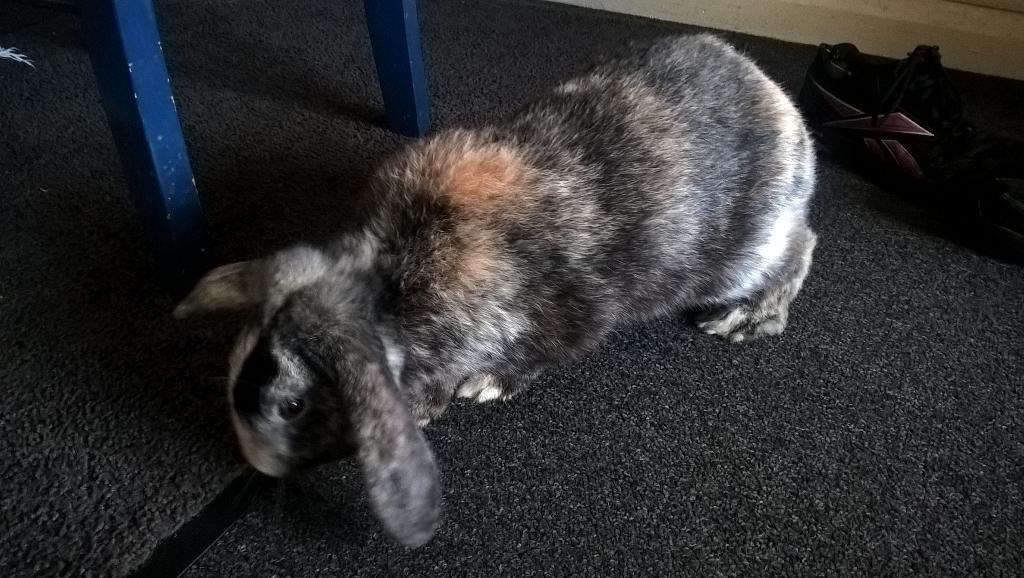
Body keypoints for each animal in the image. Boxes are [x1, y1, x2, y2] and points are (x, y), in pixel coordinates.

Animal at [174, 34, 818, 548]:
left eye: (293, 405)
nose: (254, 461)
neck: (391, 288)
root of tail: (781, 104)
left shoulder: (563, 318)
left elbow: (534, 355)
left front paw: (480, 388)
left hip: (744, 252)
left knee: (800, 247)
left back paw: (747, 317)